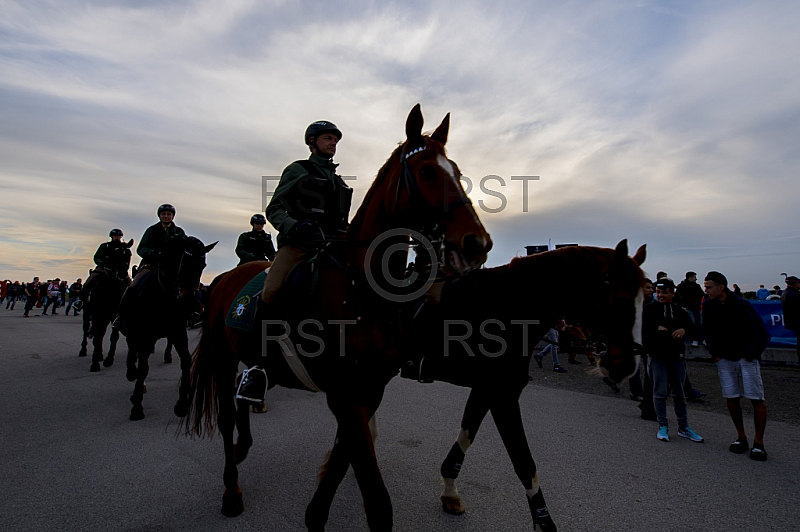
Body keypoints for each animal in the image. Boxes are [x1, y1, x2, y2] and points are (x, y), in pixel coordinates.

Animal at [186, 105, 494, 532]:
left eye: (458, 171)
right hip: (221, 356)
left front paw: (315, 516)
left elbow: (335, 471)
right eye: (427, 171)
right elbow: (378, 505)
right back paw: (232, 491)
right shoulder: (347, 398)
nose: (477, 243)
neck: (361, 289)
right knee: (227, 416)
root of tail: (225, 278)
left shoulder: (365, 394)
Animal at [310, 240, 648, 532]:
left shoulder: (489, 390)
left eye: (644, 299)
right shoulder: (503, 396)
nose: (627, 367)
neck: (505, 308)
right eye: (620, 300)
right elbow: (525, 464)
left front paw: (450, 491)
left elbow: (466, 437)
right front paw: (544, 523)